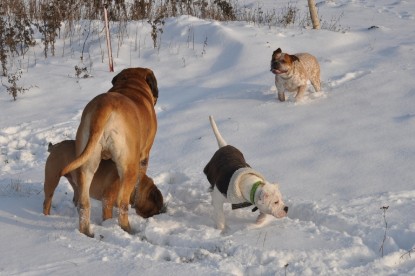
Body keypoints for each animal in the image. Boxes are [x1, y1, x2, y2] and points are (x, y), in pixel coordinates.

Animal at [60, 67, 159, 237]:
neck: (132, 84)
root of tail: (104, 106)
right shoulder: (143, 157)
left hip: (86, 164)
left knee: (84, 203)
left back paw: (86, 231)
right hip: (129, 166)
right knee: (121, 203)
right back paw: (126, 229)